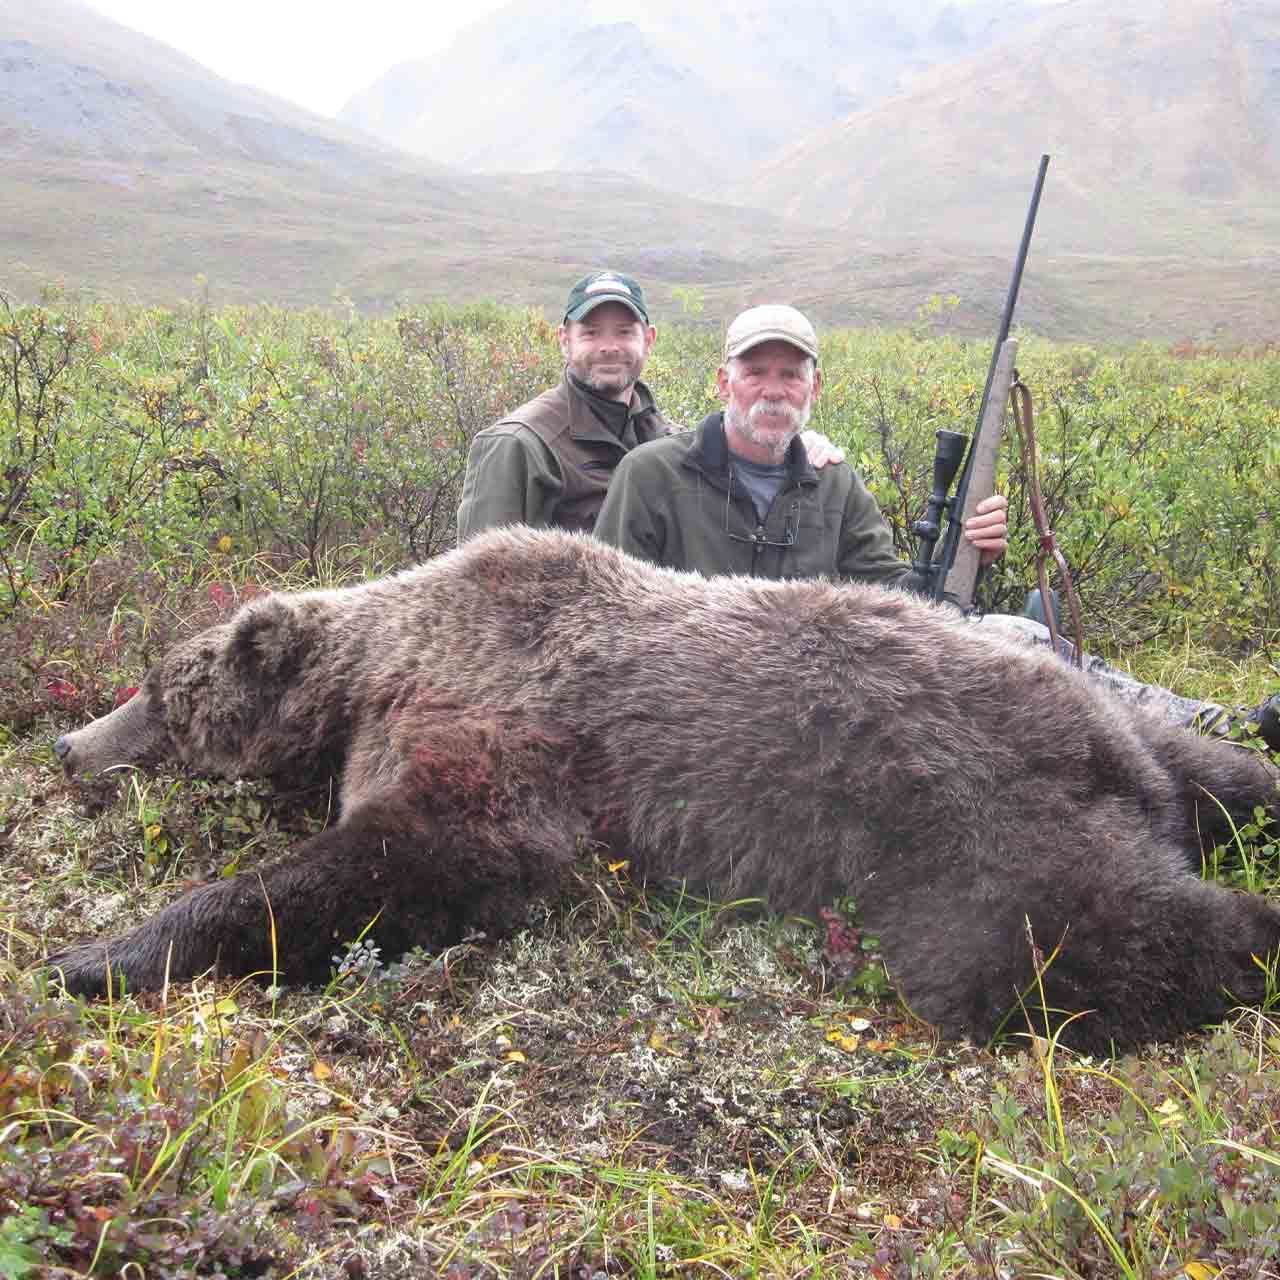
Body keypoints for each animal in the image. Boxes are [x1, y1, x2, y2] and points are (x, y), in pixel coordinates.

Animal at [45, 524, 1274, 1054]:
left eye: (158, 689)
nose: (62, 743)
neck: (376, 657)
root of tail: (1105, 744)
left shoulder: (502, 720)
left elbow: (434, 852)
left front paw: (96, 953)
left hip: (968, 819)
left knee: (1054, 949)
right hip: (1137, 739)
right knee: (1227, 778)